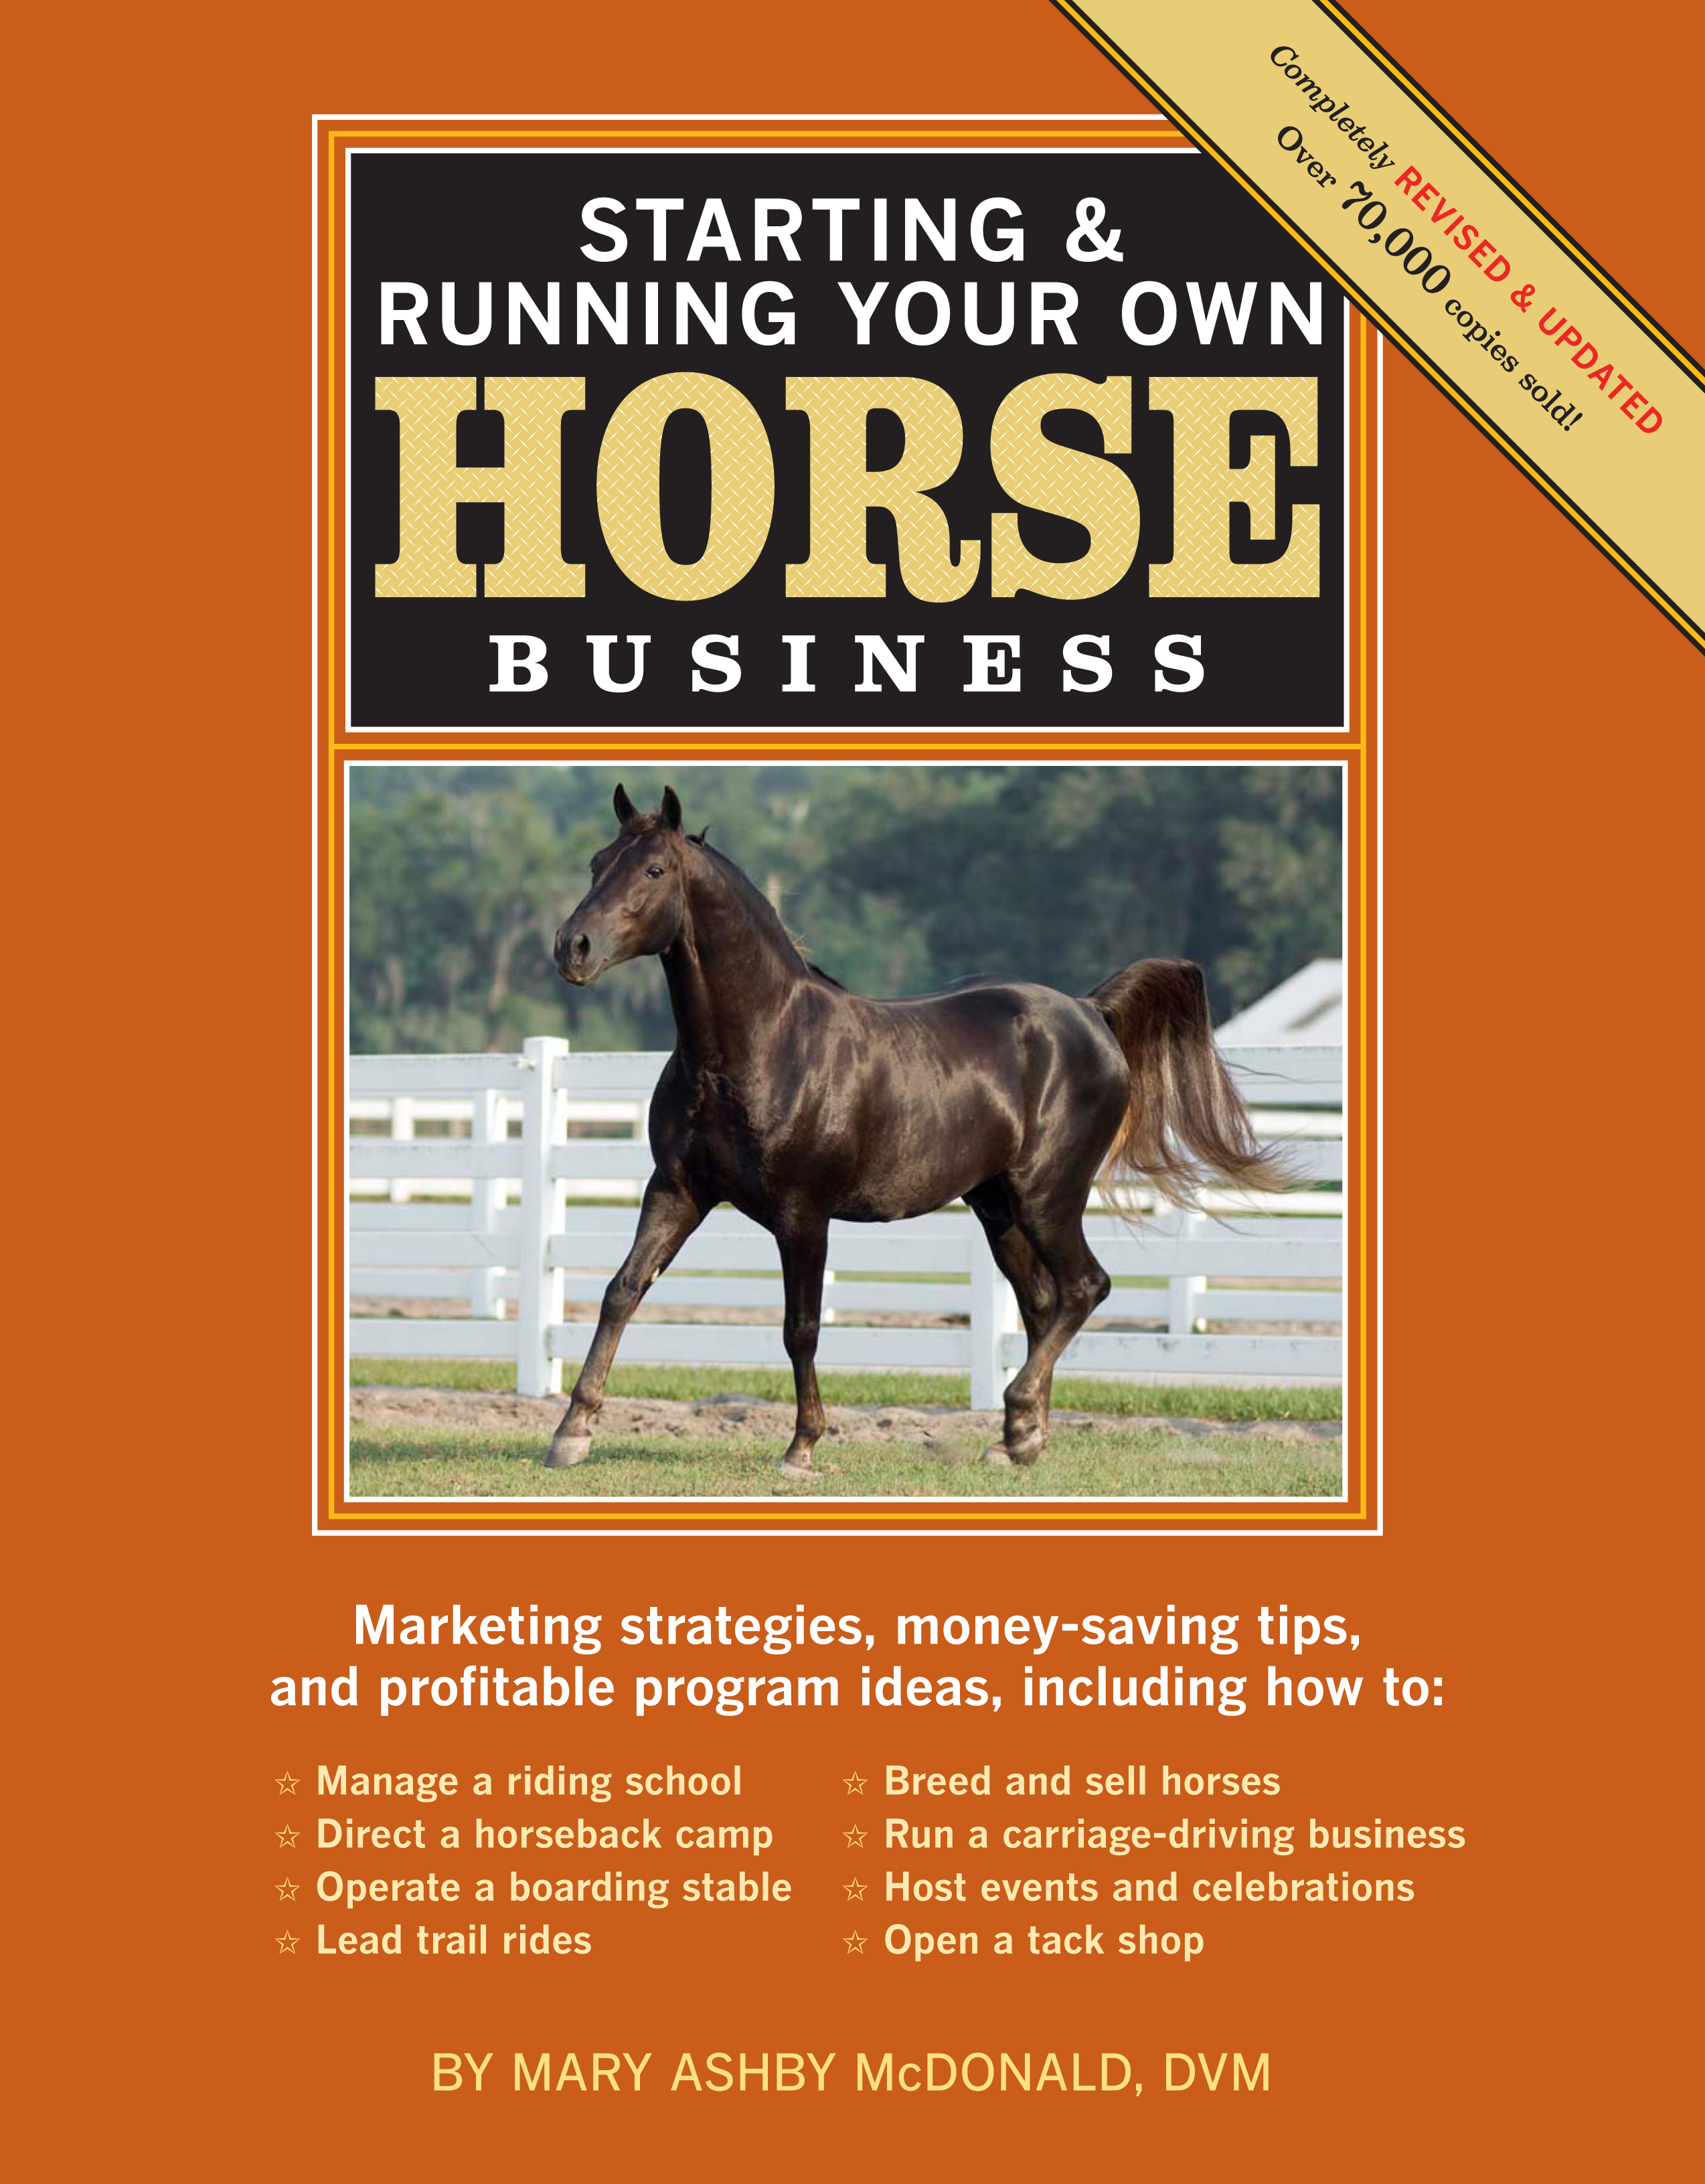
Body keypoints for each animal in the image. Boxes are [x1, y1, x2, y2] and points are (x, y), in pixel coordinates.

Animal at [546, 783, 1283, 1479]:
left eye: (654, 869)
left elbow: (800, 1328)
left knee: (1085, 1288)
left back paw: (1019, 1418)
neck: (761, 1045)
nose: (571, 948)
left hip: (1048, 1197)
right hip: (997, 1208)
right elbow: (621, 1291)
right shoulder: (677, 1190)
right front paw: (571, 1434)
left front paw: (802, 1448)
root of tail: (1088, 1010)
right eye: (596, 863)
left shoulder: (802, 1215)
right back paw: (1019, 1441)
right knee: (1043, 1303)